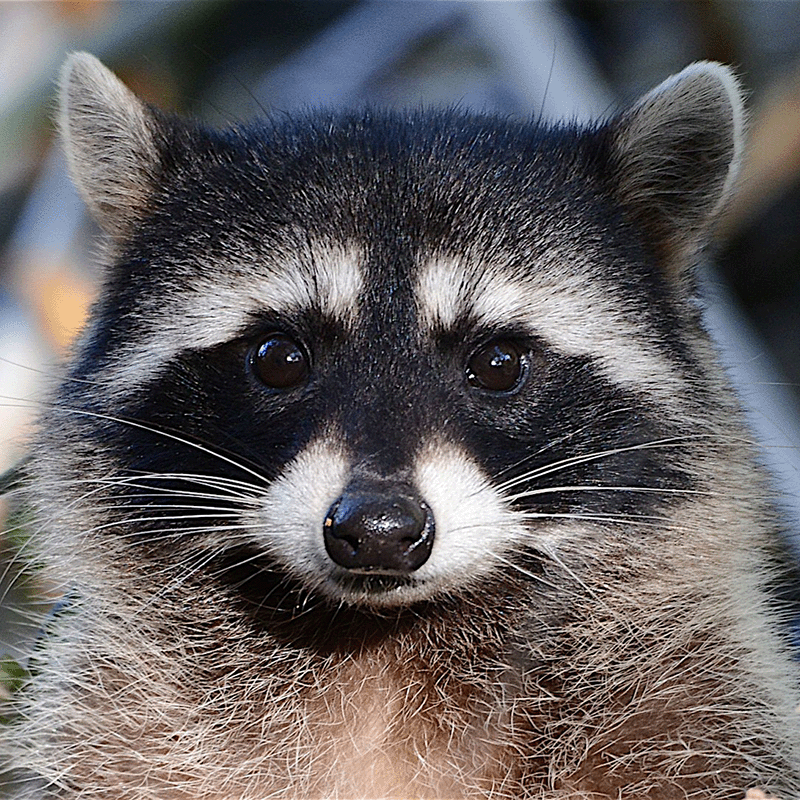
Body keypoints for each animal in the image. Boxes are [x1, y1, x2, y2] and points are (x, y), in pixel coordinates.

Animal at [2, 51, 800, 799]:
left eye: (497, 363)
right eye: (278, 357)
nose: (379, 529)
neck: (384, 644)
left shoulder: (700, 707)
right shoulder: (118, 726)